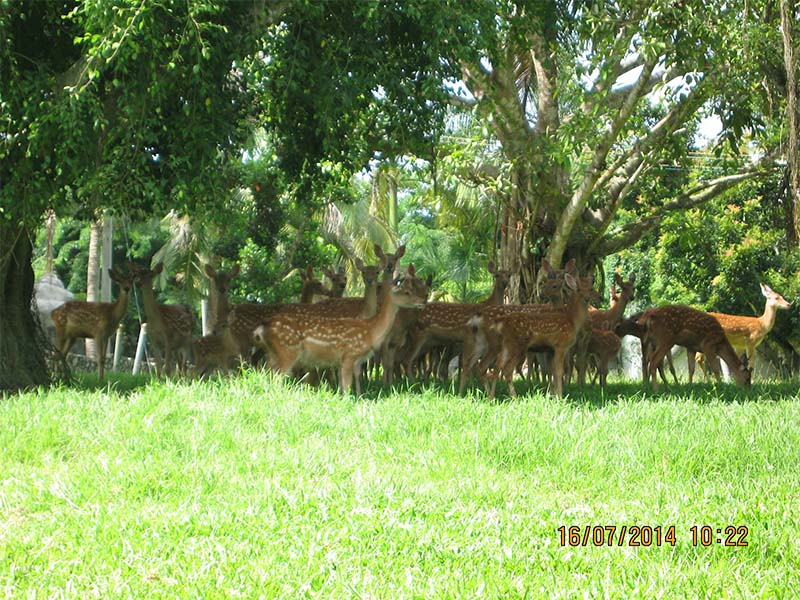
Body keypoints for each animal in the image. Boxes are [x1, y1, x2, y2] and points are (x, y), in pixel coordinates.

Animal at [255, 264, 432, 394]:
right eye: (407, 292)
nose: (423, 301)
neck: (371, 330)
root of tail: (262, 328)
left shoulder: (349, 360)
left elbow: (344, 386)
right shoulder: (349, 354)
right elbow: (346, 388)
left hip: (273, 354)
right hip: (288, 351)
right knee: (276, 378)